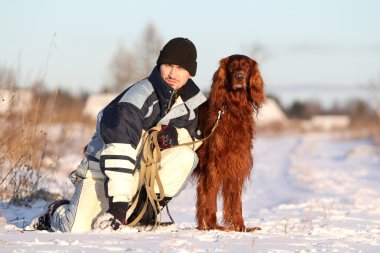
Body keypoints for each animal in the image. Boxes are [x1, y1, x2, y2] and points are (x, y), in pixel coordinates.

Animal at [193, 54, 264, 232]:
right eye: (232, 66)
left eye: (246, 66)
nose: (239, 77)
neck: (234, 109)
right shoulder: (213, 165)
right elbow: (209, 197)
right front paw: (213, 226)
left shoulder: (236, 163)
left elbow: (235, 200)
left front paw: (241, 227)